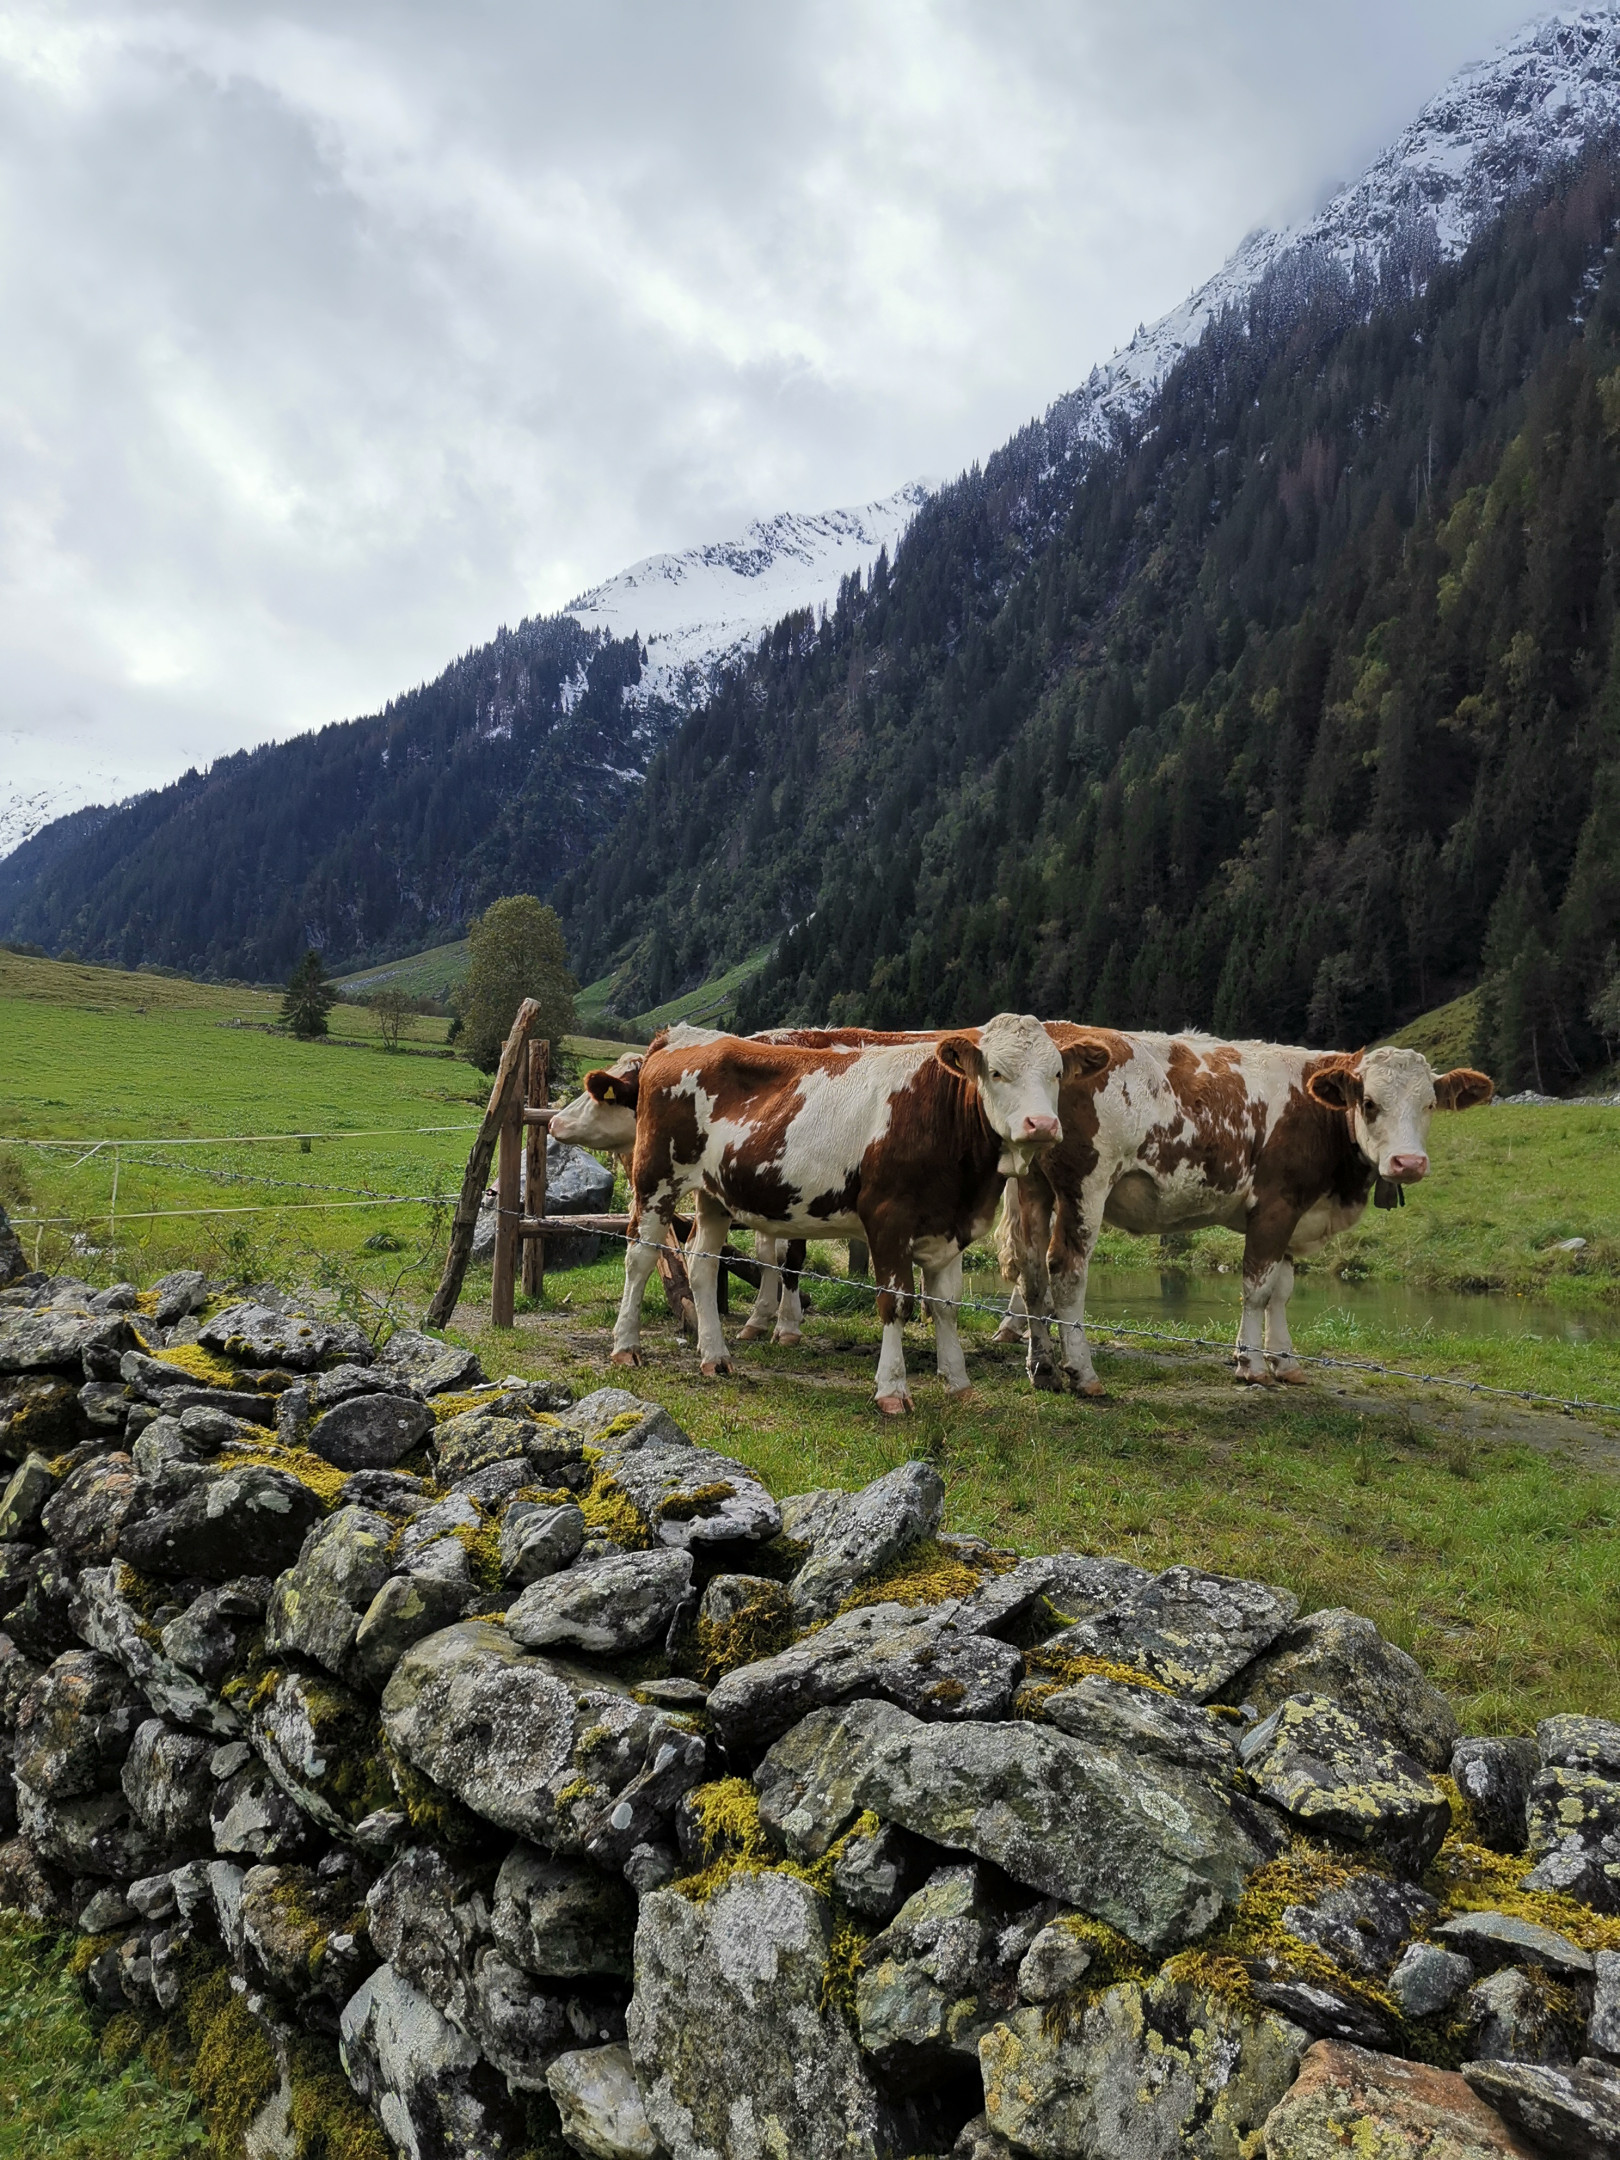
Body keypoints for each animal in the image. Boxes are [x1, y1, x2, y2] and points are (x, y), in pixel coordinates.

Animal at [609, 1015, 1067, 1408]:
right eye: (997, 1072)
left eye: (1057, 1074)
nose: (1042, 1125)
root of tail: (683, 1035)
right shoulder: (887, 1219)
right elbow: (895, 1302)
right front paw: (892, 1390)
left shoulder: (949, 1227)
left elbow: (945, 1305)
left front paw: (958, 1383)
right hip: (656, 1179)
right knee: (640, 1257)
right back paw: (626, 1346)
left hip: (715, 1195)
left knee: (702, 1264)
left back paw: (715, 1357)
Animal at [1010, 1032, 1503, 1399]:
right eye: (1369, 1104)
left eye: (1429, 1105)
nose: (1408, 1163)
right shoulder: (1275, 1204)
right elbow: (1258, 1288)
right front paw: (1251, 1364)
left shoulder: (1295, 1212)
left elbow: (1282, 1291)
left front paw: (1286, 1362)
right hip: (1085, 1187)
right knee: (1066, 1270)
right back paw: (1082, 1372)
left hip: (1034, 1186)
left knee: (1030, 1269)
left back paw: (1044, 1367)